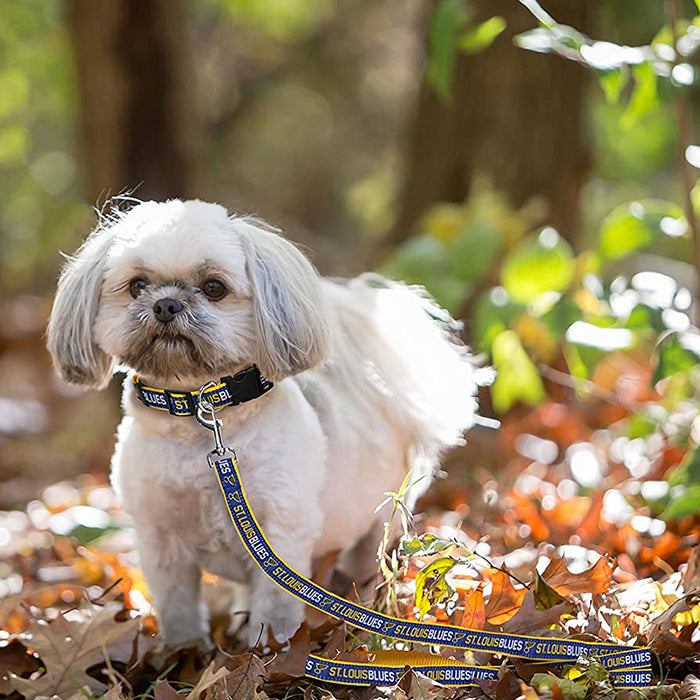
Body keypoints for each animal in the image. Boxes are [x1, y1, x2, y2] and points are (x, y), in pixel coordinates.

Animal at [46, 200, 478, 648]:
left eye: (214, 287)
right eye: (137, 285)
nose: (166, 305)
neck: (201, 416)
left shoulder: (279, 532)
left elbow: (275, 605)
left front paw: (270, 648)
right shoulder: (160, 540)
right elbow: (179, 609)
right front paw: (184, 653)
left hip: (378, 521)